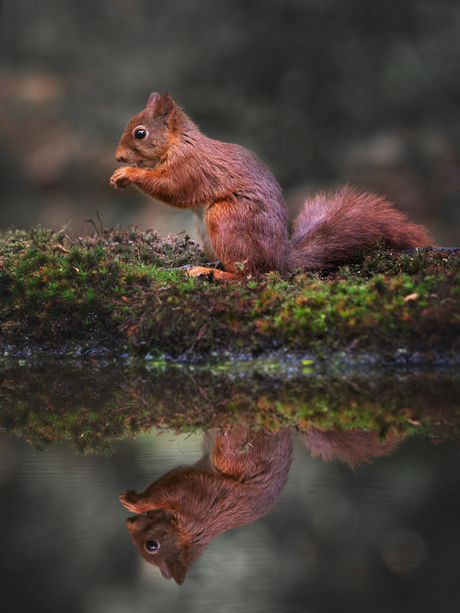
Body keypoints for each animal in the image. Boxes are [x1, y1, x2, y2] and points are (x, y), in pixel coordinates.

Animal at [110, 91, 432, 280]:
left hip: (227, 219)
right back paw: (207, 266)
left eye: (140, 133)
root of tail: (279, 258)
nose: (118, 157)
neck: (178, 143)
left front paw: (126, 173)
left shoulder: (190, 168)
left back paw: (211, 273)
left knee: (250, 275)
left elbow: (172, 189)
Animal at [120, 426, 398, 584]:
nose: (128, 522)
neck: (188, 532)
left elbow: (167, 487)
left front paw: (134, 502)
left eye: (152, 546)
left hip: (235, 448)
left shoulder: (194, 497)